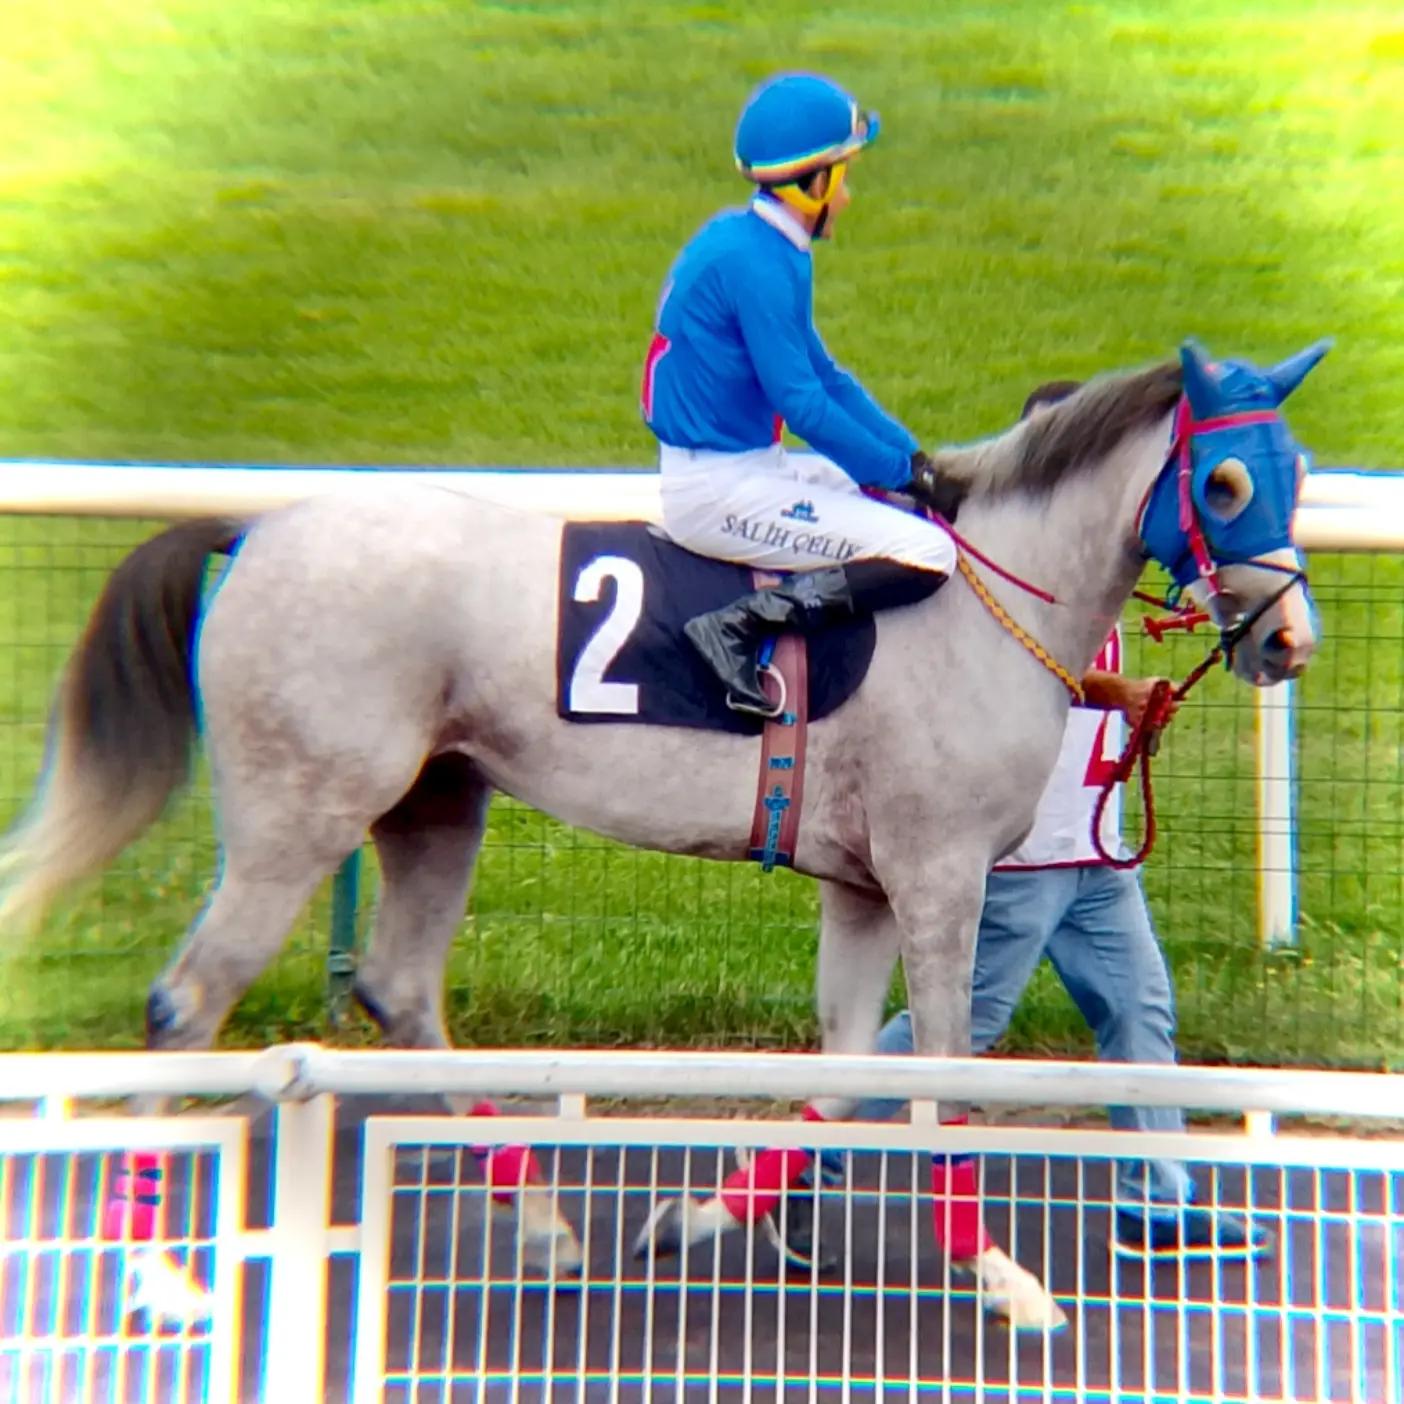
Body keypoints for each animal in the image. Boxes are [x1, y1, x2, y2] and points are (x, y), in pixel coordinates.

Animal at [0, 338, 1327, 1333]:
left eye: (1296, 471)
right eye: (1225, 484)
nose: (1288, 640)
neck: (980, 599)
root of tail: (263, 525)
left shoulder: (863, 885)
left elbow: (848, 1065)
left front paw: (703, 1216)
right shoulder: (938, 872)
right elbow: (942, 1067)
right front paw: (999, 1277)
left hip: (437, 800)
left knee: (397, 986)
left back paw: (541, 1225)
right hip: (302, 810)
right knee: (187, 1003)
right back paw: (159, 1274)